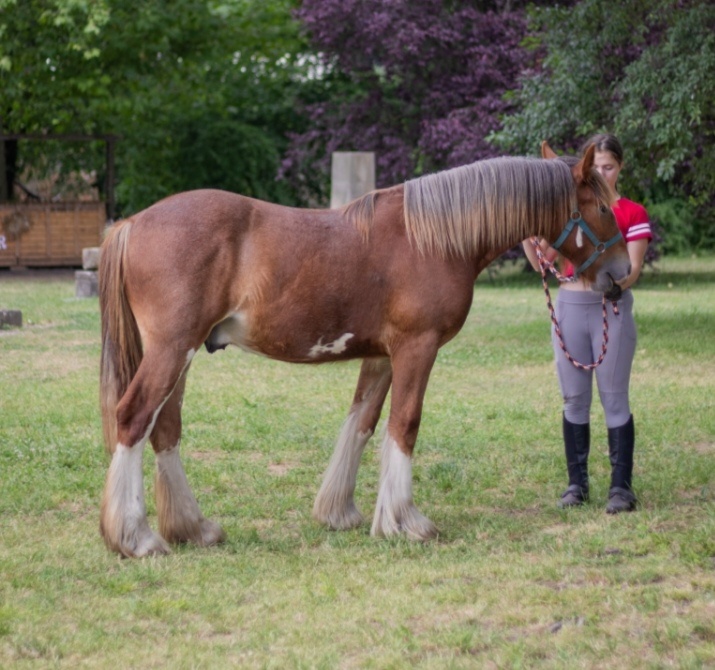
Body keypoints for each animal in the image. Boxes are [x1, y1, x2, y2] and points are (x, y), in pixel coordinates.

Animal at [98, 142, 630, 557]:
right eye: (605, 209)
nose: (622, 273)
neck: (434, 238)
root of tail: (132, 223)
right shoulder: (417, 348)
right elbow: (405, 425)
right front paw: (405, 521)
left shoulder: (380, 355)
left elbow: (364, 422)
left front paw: (341, 512)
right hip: (172, 349)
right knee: (134, 418)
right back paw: (137, 538)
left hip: (181, 354)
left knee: (165, 427)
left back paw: (192, 528)